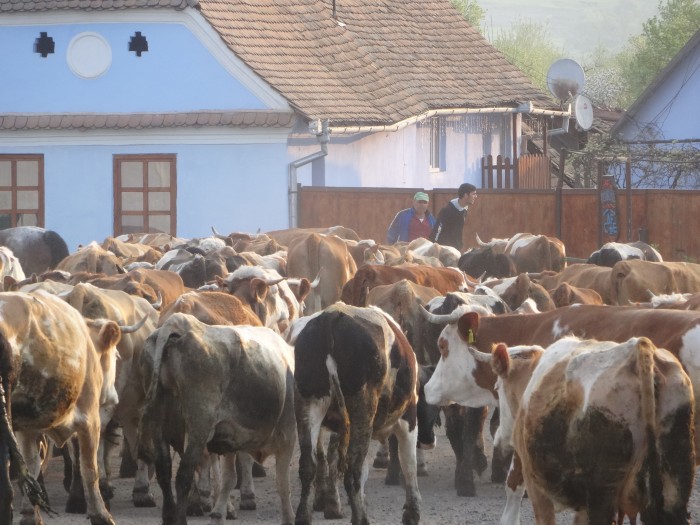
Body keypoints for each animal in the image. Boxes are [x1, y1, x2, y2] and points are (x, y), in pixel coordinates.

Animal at [138, 312, 296, 524]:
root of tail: (177, 325)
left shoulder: (230, 439)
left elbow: (229, 479)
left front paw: (219, 513)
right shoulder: (287, 437)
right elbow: (283, 484)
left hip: (159, 423)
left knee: (164, 470)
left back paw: (169, 516)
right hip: (198, 425)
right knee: (184, 475)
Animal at [294, 302, 422, 524]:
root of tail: (331, 316)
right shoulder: (409, 415)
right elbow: (409, 463)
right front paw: (411, 513)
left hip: (308, 404)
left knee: (308, 466)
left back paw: (303, 517)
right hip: (362, 409)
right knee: (353, 469)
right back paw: (361, 518)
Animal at [492, 336, 696, 524]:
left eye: (497, 388)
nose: (499, 438)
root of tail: (640, 349)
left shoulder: (536, 488)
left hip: (601, 496)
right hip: (673, 489)